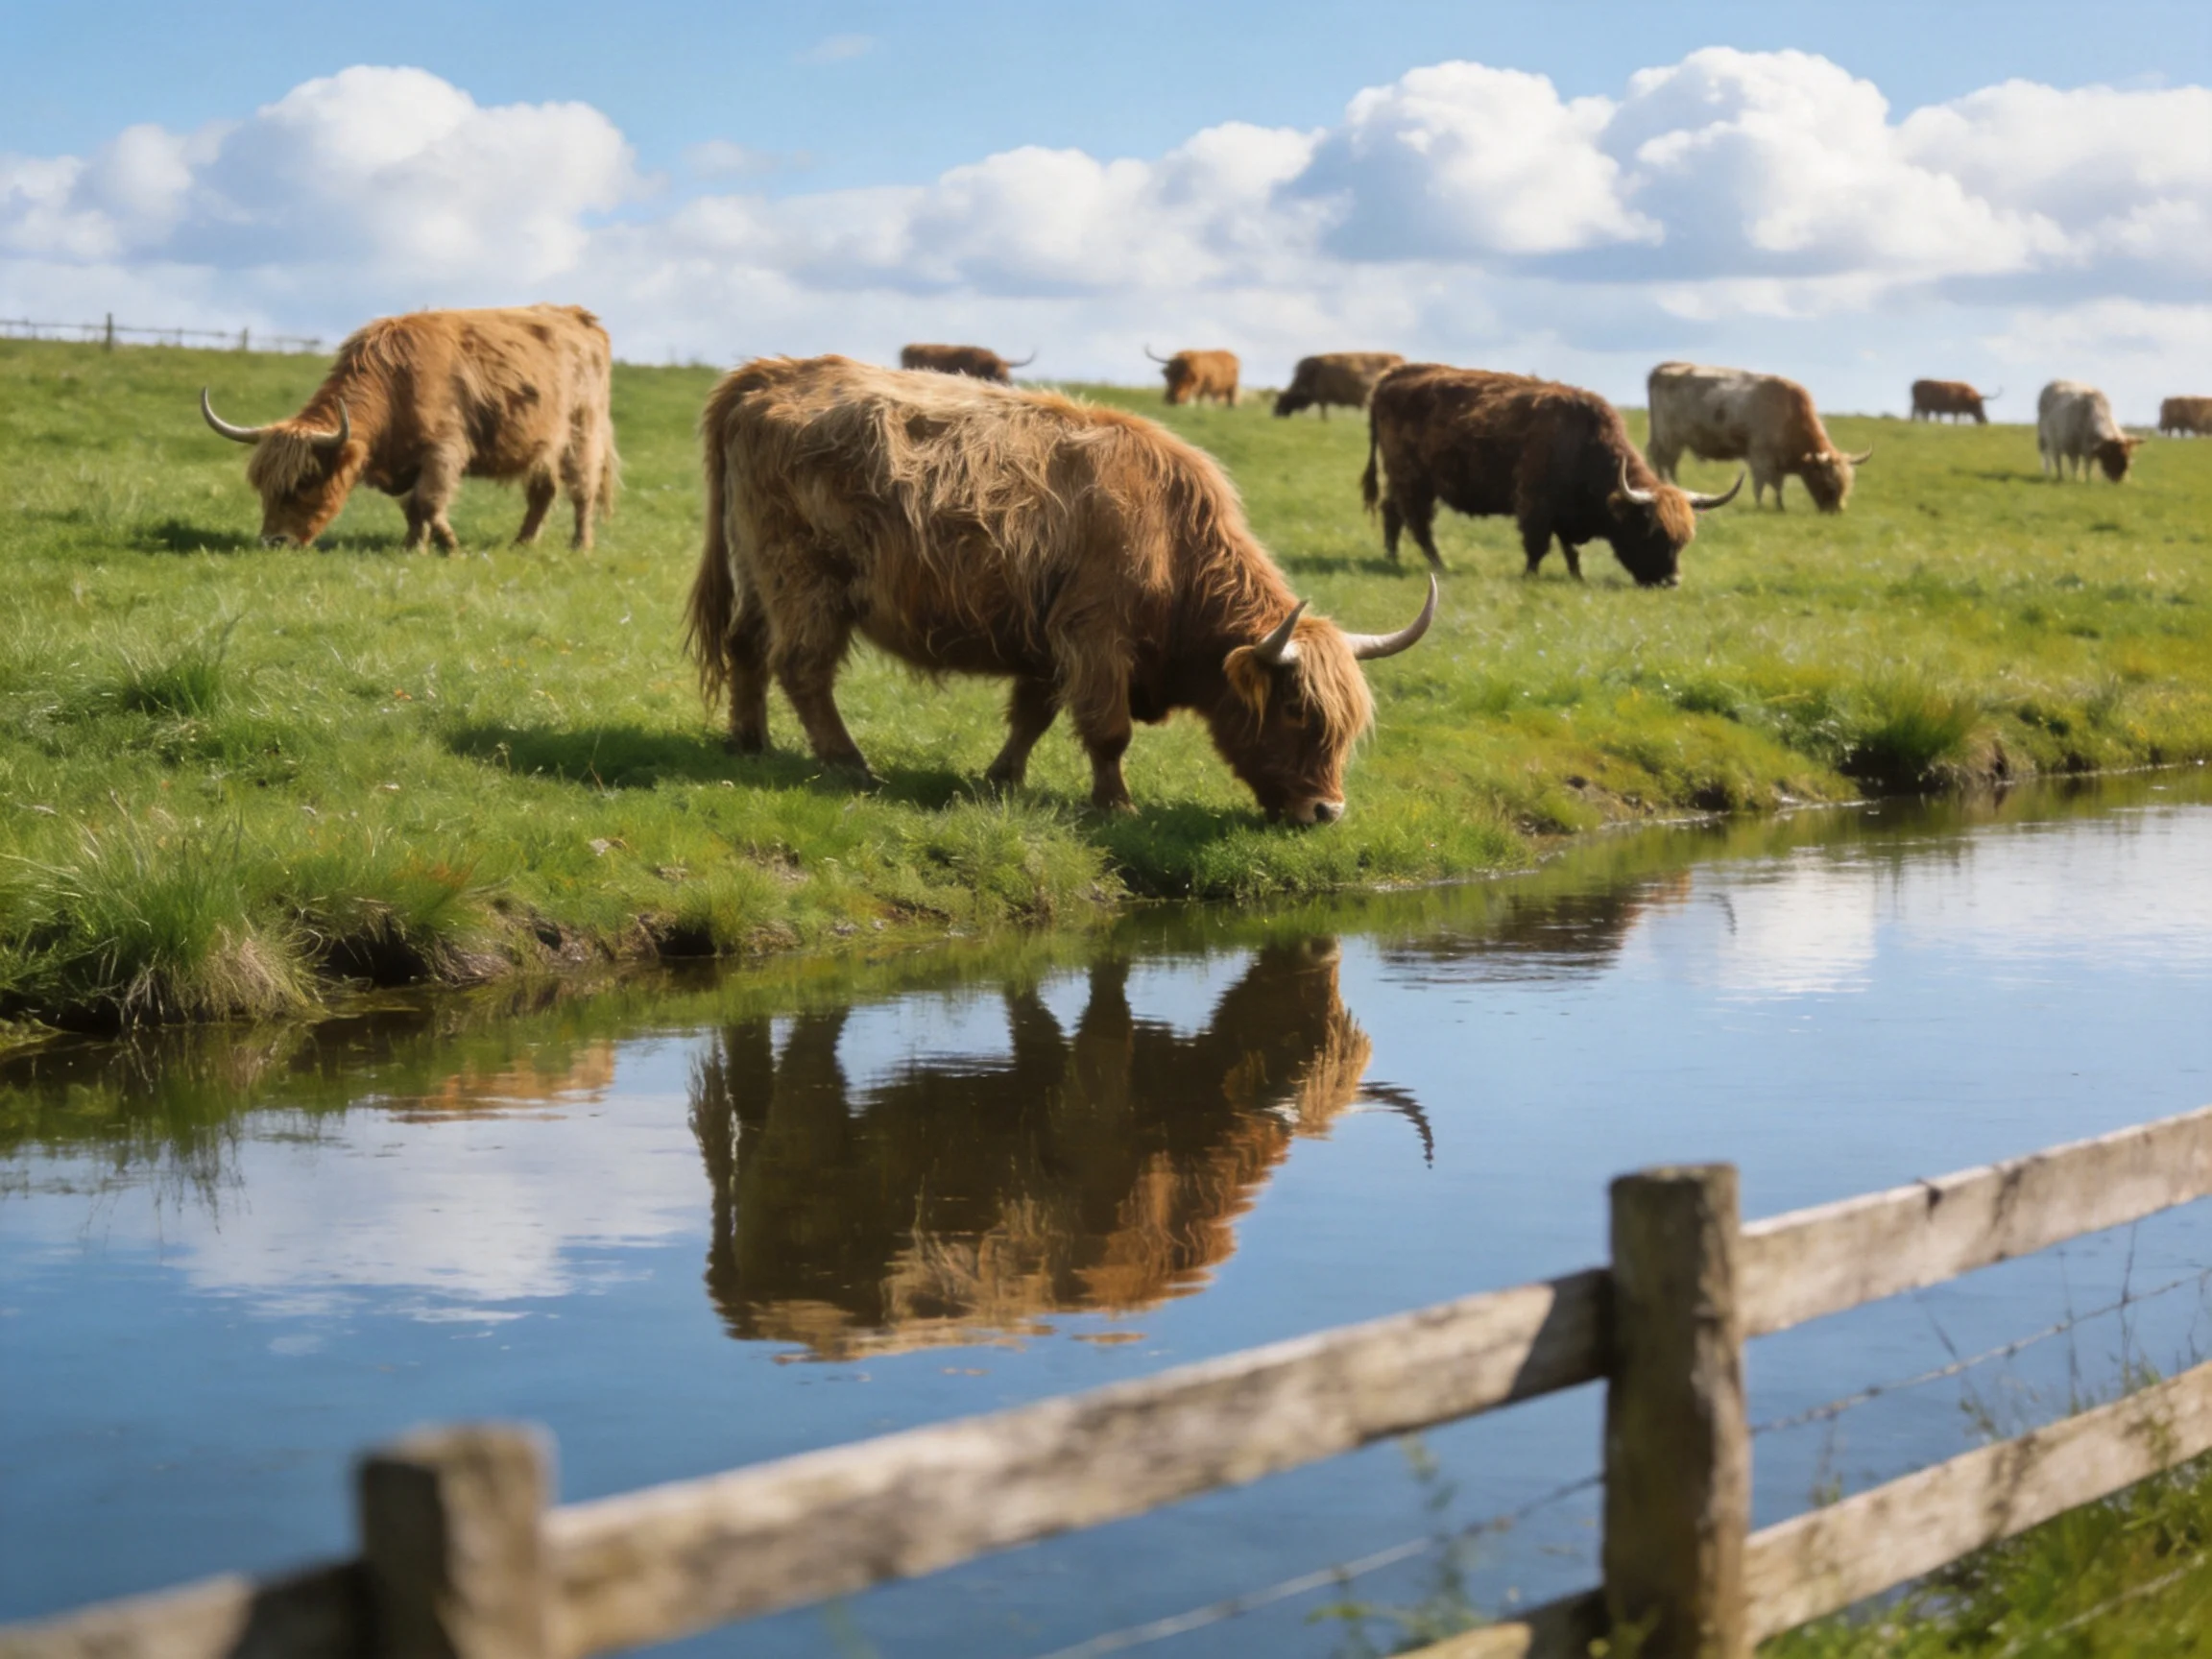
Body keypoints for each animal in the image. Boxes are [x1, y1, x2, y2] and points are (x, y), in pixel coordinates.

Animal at [199, 305, 618, 551]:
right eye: (264, 488)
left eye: (305, 482)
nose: (273, 541)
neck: (396, 381)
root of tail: (577, 315)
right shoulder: (405, 464)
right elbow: (411, 506)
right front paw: (413, 545)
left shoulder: (443, 450)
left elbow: (429, 501)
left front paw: (449, 546)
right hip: (542, 445)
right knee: (542, 492)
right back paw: (523, 542)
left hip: (582, 433)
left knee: (582, 490)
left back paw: (580, 546)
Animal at [1360, 364, 1740, 587]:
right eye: (1651, 532)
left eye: (1683, 539)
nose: (1671, 581)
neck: (1582, 442)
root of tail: (1389, 379)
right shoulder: (1534, 506)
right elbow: (1538, 547)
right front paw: (1530, 576)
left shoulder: (1566, 516)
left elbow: (1571, 550)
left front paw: (1578, 577)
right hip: (1414, 481)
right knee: (1418, 523)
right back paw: (1441, 566)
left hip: (1402, 480)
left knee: (1392, 512)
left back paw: (1392, 558)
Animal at [1646, 362, 1872, 512]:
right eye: (1830, 483)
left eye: (1847, 483)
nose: (1836, 511)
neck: (1790, 413)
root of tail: (1665, 367)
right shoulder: (1761, 457)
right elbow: (1761, 485)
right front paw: (1761, 506)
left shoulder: (1777, 464)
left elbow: (1778, 487)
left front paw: (1780, 507)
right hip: (1669, 438)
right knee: (1665, 463)